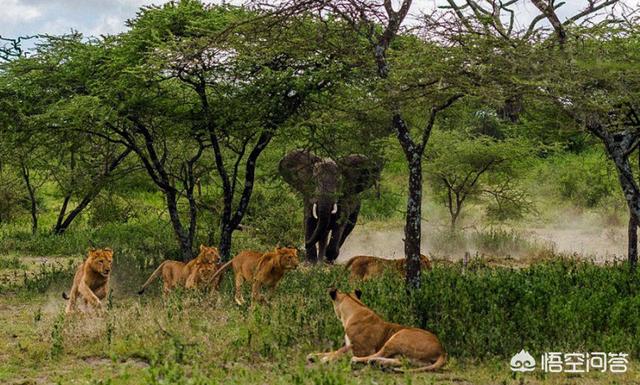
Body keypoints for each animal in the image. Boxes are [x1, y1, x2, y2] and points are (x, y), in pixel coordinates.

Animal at [306, 288, 444, 372]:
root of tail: (442, 350)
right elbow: (334, 350)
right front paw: (314, 355)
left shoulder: (363, 349)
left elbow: (340, 351)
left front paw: (325, 359)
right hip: (413, 358)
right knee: (402, 361)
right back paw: (380, 363)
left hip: (399, 335)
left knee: (377, 354)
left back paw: (363, 361)